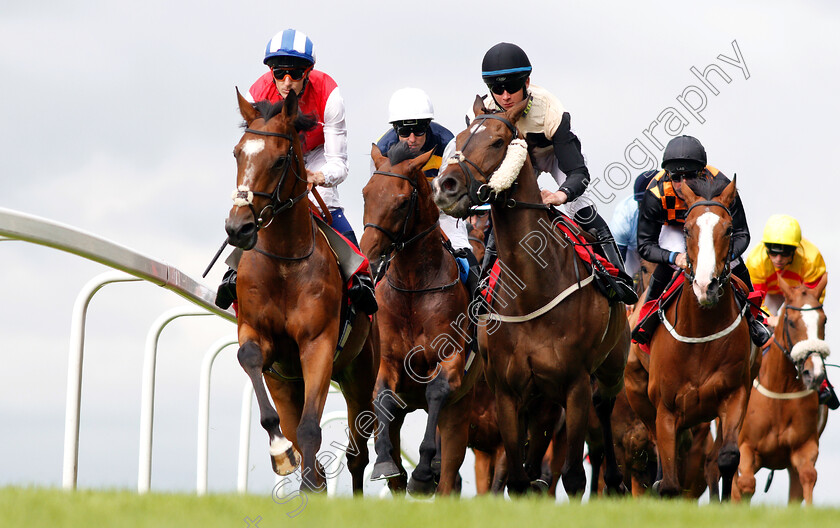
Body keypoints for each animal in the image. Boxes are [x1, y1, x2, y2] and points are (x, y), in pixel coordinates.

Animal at [226, 88, 378, 492]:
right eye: (238, 153)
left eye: (280, 160)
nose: (238, 228)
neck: (284, 264)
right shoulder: (256, 335)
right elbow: (249, 357)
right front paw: (281, 453)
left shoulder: (318, 344)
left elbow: (312, 429)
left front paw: (308, 481)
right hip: (285, 384)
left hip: (360, 375)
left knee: (358, 452)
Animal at [360, 141, 480, 496]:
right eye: (366, 194)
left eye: (402, 202)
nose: (368, 254)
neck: (414, 287)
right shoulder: (388, 360)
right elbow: (383, 396)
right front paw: (385, 462)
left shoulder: (450, 359)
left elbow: (437, 392)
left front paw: (425, 471)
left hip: (463, 407)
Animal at [430, 97, 628, 498]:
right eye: (458, 138)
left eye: (497, 141)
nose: (446, 186)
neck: (532, 290)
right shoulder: (507, 391)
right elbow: (517, 479)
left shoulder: (575, 385)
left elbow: (573, 476)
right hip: (540, 396)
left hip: (610, 367)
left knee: (604, 406)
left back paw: (615, 478)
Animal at [624, 178, 756, 500]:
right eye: (686, 230)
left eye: (728, 229)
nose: (706, 286)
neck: (701, 333)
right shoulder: (666, 409)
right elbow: (670, 482)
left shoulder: (735, 393)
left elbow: (727, 457)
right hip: (639, 395)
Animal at [732, 274, 832, 506]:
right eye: (791, 322)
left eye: (823, 320)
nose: (814, 373)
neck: (781, 390)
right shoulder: (746, 447)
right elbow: (745, 484)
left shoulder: (805, 447)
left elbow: (808, 477)